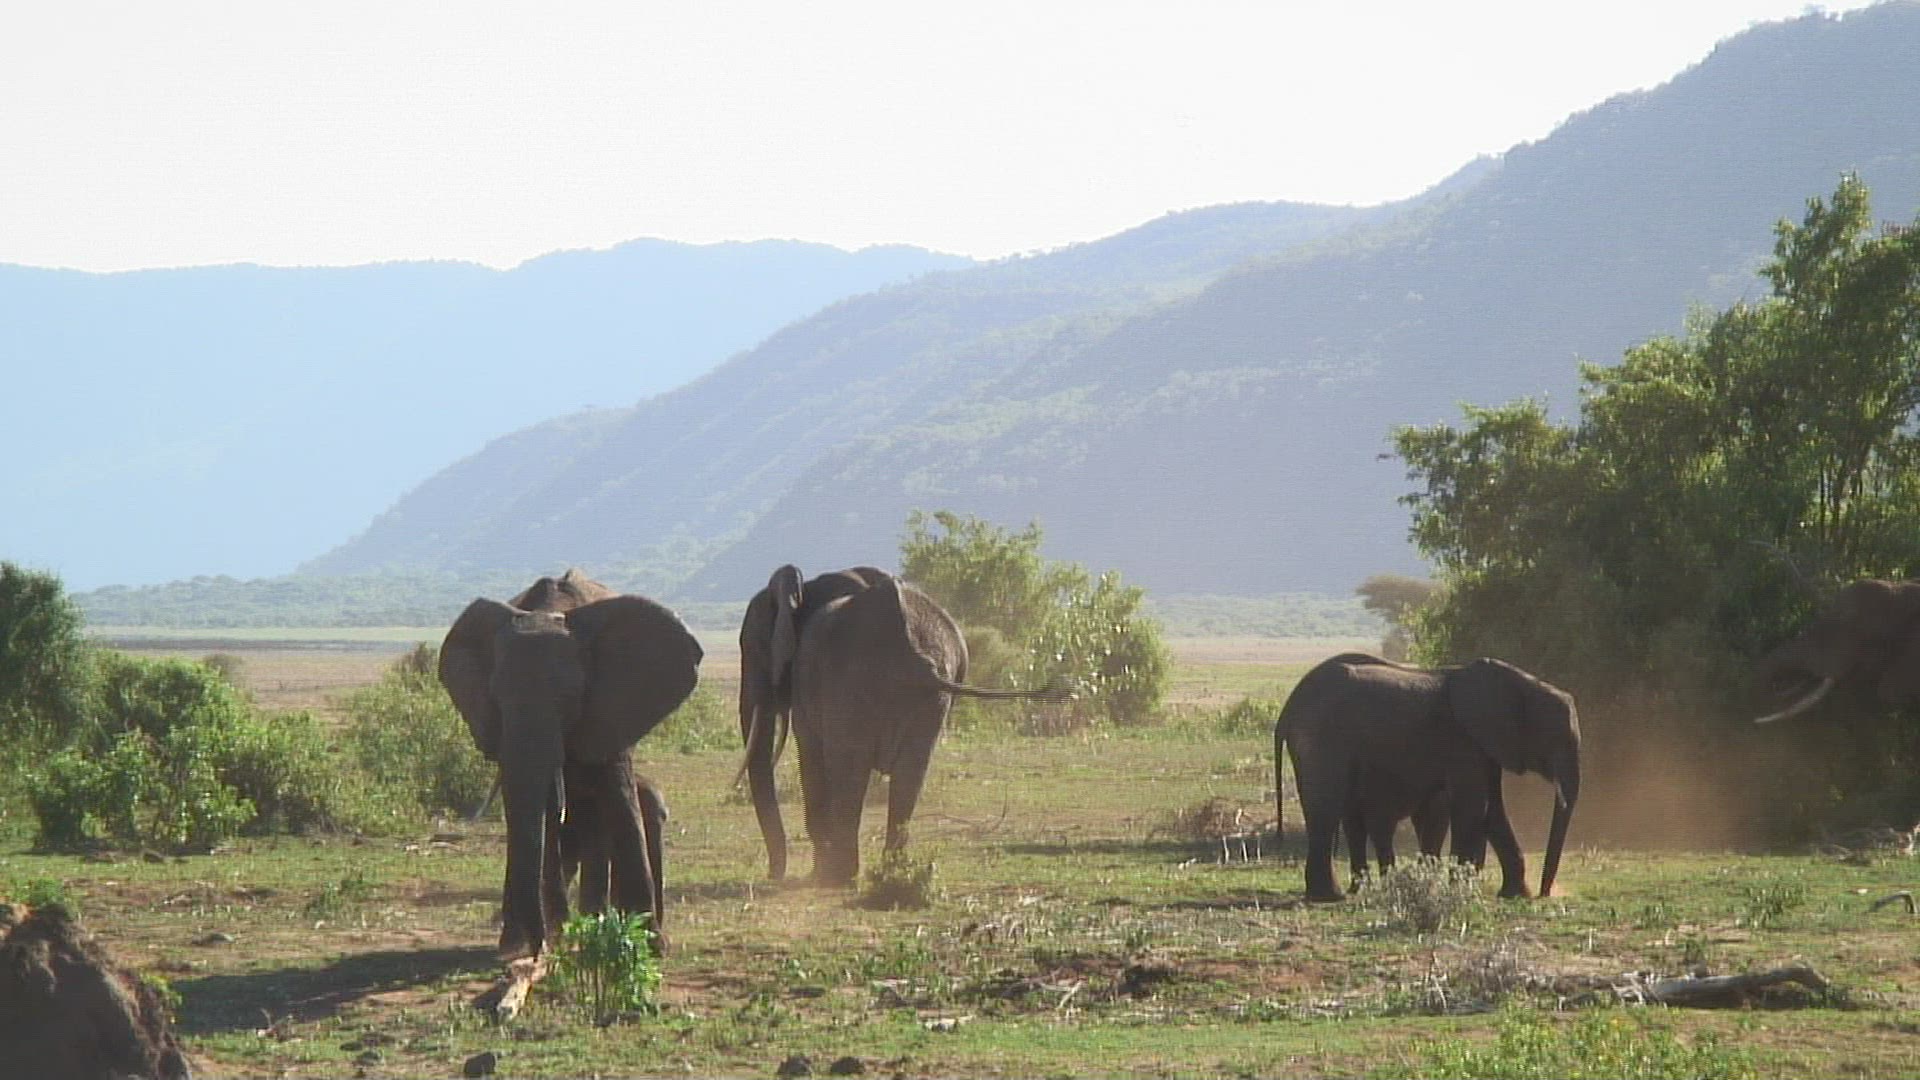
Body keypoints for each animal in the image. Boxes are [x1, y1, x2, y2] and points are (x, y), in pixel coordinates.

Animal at [440, 569, 701, 960]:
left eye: (570, 698)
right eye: (496, 699)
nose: (541, 947)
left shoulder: (611, 706)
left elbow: (619, 801)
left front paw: (651, 946)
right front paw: (555, 937)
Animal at [739, 565, 1067, 885]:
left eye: (751, 648)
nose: (773, 876)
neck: (807, 587)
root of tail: (907, 642)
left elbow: (809, 756)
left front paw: (815, 875)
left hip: (851, 683)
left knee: (850, 769)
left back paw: (839, 877)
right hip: (931, 693)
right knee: (911, 771)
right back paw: (890, 872)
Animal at [1274, 652, 1581, 902]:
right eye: (1558, 739)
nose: (1545, 893)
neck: (1523, 683)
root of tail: (1288, 708)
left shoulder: (1484, 744)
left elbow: (1493, 810)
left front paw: (1515, 895)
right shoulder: (1462, 741)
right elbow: (1473, 808)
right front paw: (1459, 891)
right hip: (1323, 738)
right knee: (1326, 808)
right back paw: (1330, 896)